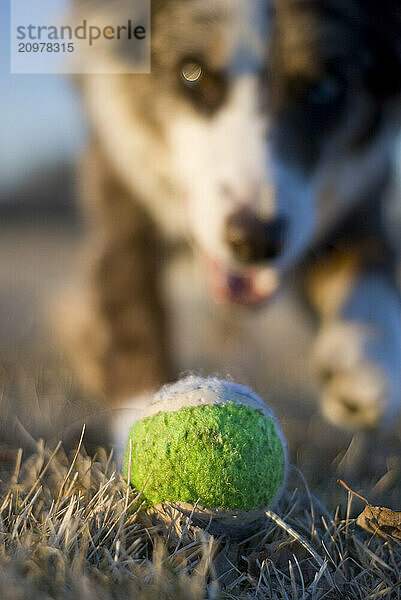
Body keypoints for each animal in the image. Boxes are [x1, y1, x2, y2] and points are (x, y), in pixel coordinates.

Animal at [69, 0, 400, 434]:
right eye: (191, 73)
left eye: (326, 88)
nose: (255, 241)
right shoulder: (118, 186)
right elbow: (131, 296)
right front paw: (144, 406)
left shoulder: (362, 188)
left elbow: (370, 259)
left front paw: (365, 358)